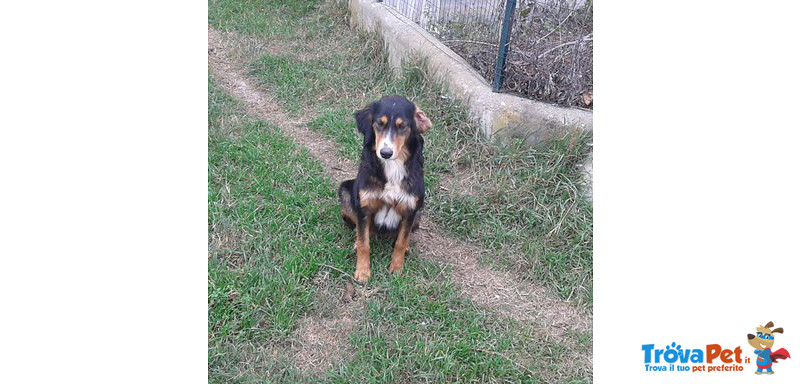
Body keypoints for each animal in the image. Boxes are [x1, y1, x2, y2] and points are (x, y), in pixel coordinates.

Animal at [336, 96, 432, 282]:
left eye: (402, 126)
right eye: (379, 124)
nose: (385, 153)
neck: (392, 166)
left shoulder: (411, 208)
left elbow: (400, 242)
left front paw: (397, 269)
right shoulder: (364, 206)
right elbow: (364, 243)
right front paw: (363, 271)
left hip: (419, 211)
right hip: (345, 191)